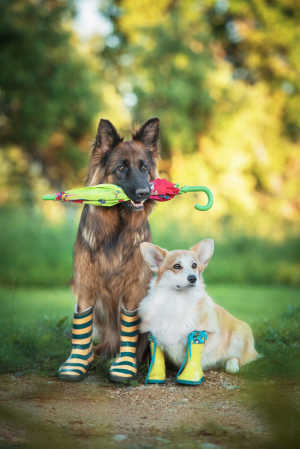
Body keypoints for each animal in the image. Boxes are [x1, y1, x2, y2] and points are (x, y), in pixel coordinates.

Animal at [72, 118, 161, 360]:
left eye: (144, 168)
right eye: (121, 167)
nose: (144, 193)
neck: (117, 231)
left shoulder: (132, 288)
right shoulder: (86, 285)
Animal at [138, 240, 258, 372]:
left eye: (194, 265)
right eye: (177, 266)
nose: (193, 278)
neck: (178, 300)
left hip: (239, 334)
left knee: (238, 357)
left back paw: (232, 366)